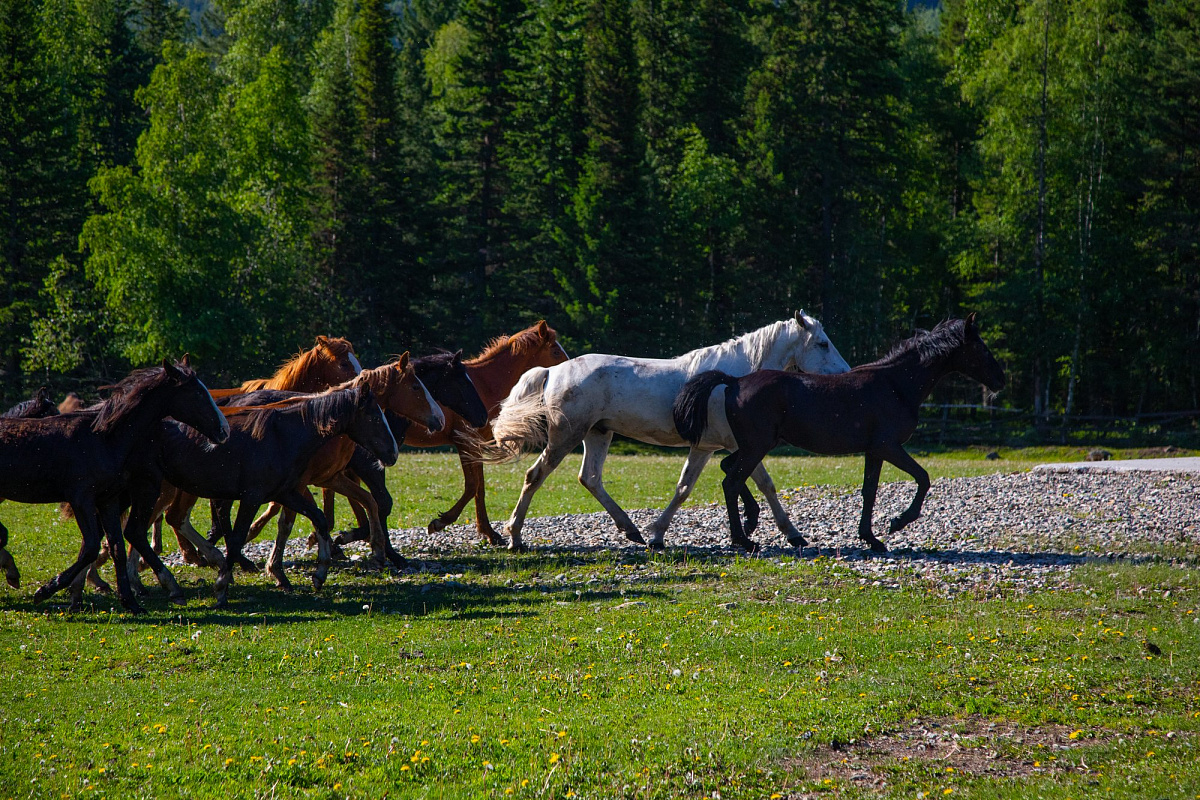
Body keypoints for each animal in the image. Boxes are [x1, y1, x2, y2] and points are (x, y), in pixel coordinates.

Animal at [0, 360, 229, 613]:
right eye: (197, 392)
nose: (224, 430)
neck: (104, 438)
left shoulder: (107, 499)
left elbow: (116, 546)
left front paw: (130, 602)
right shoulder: (82, 499)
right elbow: (92, 546)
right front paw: (46, 590)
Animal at [116, 378, 399, 607]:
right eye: (375, 418)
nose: (393, 453)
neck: (284, 435)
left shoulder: (287, 492)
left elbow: (318, 519)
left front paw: (320, 573)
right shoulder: (252, 497)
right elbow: (239, 536)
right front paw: (222, 588)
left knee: (155, 524)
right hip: (155, 490)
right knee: (140, 528)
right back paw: (163, 583)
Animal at [484, 312, 849, 552]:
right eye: (822, 343)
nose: (845, 373)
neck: (730, 383)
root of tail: (552, 371)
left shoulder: (723, 447)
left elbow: (746, 484)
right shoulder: (729, 446)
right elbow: (709, 486)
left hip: (597, 434)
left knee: (590, 479)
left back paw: (631, 530)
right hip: (565, 438)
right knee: (535, 476)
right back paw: (515, 536)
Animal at [673, 314, 1006, 552]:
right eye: (980, 347)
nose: (1000, 380)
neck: (895, 384)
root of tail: (734, 382)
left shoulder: (874, 451)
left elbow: (870, 491)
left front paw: (871, 538)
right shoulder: (888, 446)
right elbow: (923, 478)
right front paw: (897, 522)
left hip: (752, 446)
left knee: (728, 470)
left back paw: (751, 524)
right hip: (757, 447)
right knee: (731, 481)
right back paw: (743, 539)